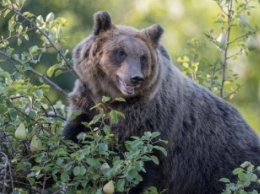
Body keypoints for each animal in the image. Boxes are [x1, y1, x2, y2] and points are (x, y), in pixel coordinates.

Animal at [63, 11, 260, 194]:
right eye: (121, 52)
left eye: (143, 57)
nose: (135, 78)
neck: (115, 100)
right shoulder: (88, 103)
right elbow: (75, 138)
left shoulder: (152, 120)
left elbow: (140, 161)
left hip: (227, 166)